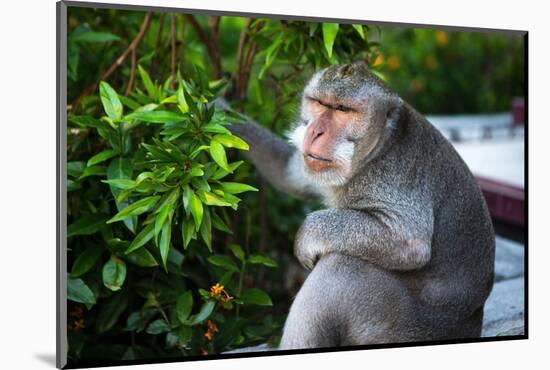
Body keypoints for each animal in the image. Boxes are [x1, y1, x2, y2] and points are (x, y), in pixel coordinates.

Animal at [226, 61, 498, 350]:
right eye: (320, 103)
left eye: (343, 110)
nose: (315, 132)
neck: (375, 152)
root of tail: (473, 322)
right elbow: (288, 172)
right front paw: (223, 110)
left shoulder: (391, 177)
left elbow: (409, 243)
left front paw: (307, 235)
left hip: (400, 325)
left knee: (340, 268)